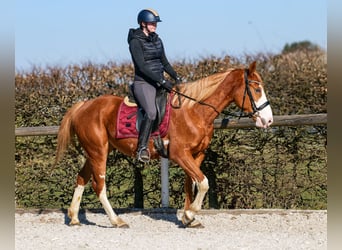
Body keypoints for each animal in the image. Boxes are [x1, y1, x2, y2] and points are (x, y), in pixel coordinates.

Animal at [55, 61, 272, 229]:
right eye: (257, 89)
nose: (268, 120)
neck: (195, 111)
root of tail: (84, 106)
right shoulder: (179, 154)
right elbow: (203, 182)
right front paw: (190, 214)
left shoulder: (196, 154)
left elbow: (191, 184)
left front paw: (188, 218)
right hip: (98, 152)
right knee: (98, 185)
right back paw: (116, 220)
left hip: (95, 152)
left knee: (81, 178)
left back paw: (74, 217)